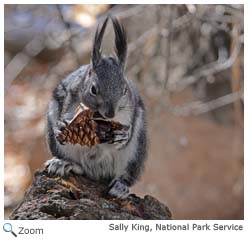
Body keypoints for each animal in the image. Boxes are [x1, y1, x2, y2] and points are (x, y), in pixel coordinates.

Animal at [44, 17, 147, 200]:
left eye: (125, 90)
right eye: (93, 89)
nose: (110, 113)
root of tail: (97, 174)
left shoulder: (131, 111)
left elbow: (127, 132)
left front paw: (123, 136)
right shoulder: (70, 98)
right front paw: (61, 126)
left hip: (135, 153)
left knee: (125, 175)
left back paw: (121, 186)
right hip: (59, 143)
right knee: (80, 168)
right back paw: (63, 163)